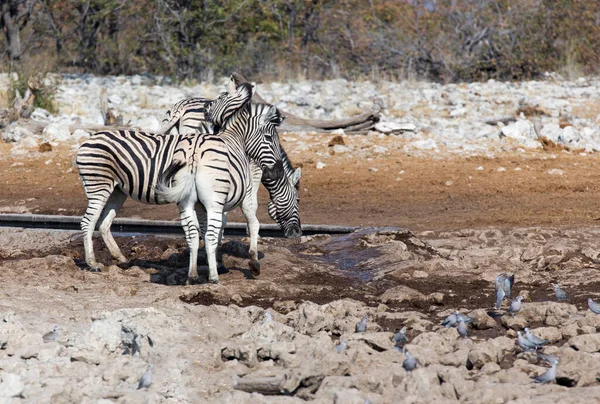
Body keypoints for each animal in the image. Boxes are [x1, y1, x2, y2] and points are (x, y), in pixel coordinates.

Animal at [76, 84, 298, 284]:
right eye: (296, 200)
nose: (297, 235)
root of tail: (88, 141)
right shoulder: (245, 188)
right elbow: (248, 222)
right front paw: (246, 262)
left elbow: (209, 229)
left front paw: (211, 262)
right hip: (99, 185)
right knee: (88, 221)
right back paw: (92, 264)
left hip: (117, 190)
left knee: (104, 223)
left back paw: (121, 259)